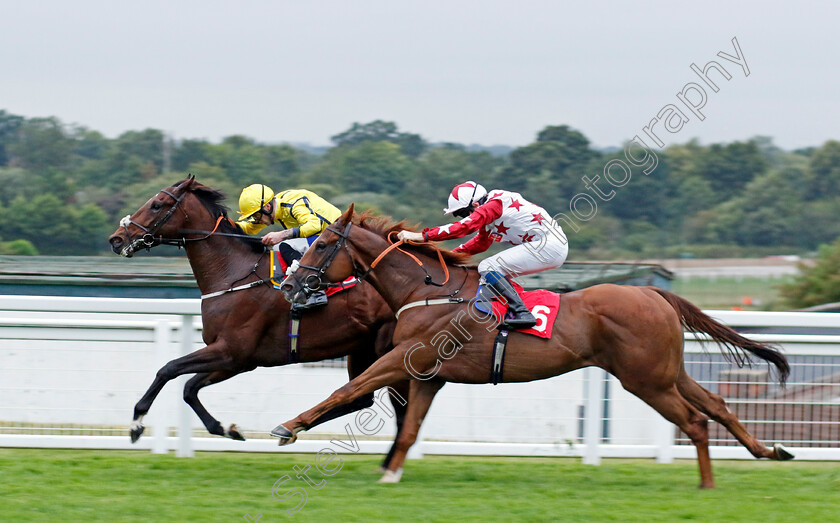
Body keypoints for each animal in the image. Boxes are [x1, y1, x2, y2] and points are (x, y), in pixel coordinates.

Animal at [106, 178, 408, 468]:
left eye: (156, 204)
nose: (116, 239)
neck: (233, 273)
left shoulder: (230, 351)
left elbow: (168, 369)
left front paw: (136, 423)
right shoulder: (238, 360)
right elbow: (189, 388)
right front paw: (227, 429)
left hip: (390, 354)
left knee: (395, 407)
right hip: (361, 348)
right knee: (361, 397)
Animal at [274, 204, 796, 488]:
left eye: (322, 244)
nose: (293, 286)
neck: (425, 290)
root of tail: (652, 292)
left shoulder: (407, 357)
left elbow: (349, 388)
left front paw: (289, 427)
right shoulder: (429, 374)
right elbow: (409, 429)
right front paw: (390, 474)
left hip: (645, 379)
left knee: (694, 420)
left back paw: (707, 484)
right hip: (666, 371)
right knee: (716, 404)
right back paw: (769, 452)